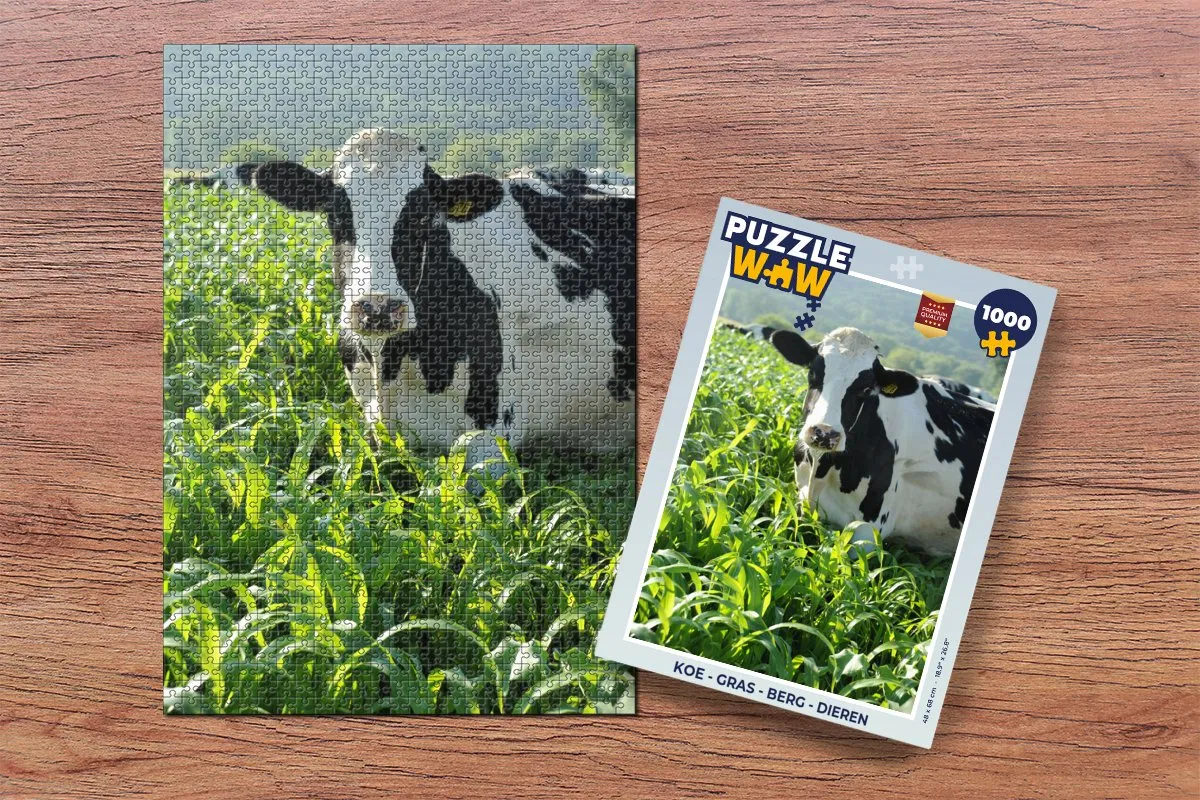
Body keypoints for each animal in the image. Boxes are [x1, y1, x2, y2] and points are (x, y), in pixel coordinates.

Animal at [236, 128, 635, 467]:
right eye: (335, 215)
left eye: (424, 217)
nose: (378, 307)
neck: (392, 367)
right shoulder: (375, 430)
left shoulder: (491, 441)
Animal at [759, 325, 995, 556]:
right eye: (813, 373)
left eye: (865, 389)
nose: (824, 433)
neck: (822, 469)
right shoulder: (802, 504)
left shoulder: (869, 529)